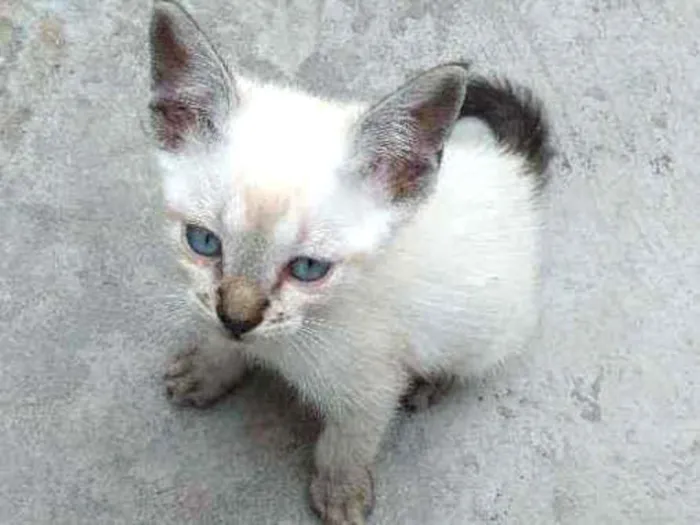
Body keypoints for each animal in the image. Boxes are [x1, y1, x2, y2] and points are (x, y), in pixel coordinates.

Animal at [148, 2, 552, 520]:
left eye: (308, 269)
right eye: (202, 241)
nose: (237, 319)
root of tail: (510, 169)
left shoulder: (373, 384)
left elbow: (348, 441)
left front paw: (341, 490)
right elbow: (218, 339)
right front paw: (209, 366)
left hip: (484, 328)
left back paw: (431, 383)